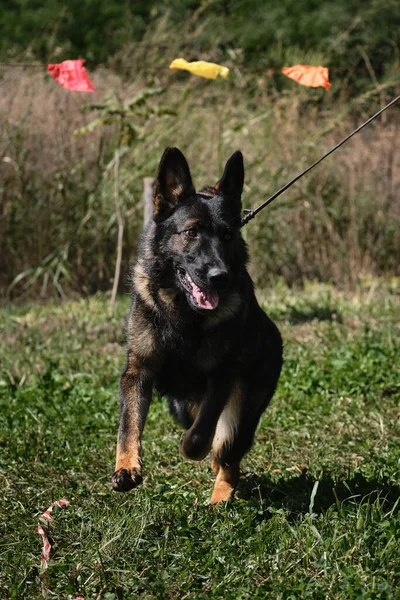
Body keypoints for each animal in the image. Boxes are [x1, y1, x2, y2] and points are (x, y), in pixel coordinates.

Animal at [111, 148, 282, 504]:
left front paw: (192, 449)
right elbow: (128, 423)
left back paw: (220, 495)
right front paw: (126, 467)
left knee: (229, 451)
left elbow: (203, 433)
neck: (184, 313)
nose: (220, 277)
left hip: (245, 408)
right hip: (180, 406)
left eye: (228, 235)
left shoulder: (222, 377)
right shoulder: (138, 372)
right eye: (191, 232)